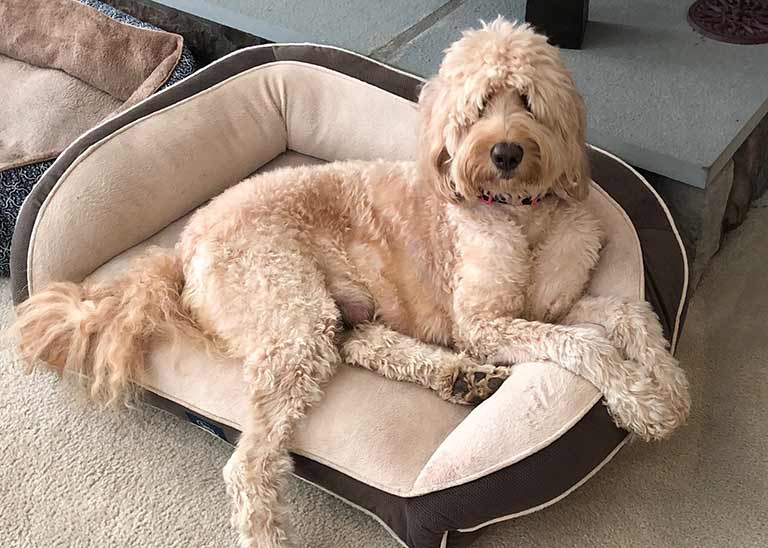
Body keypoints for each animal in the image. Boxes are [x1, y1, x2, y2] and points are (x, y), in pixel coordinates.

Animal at [12, 17, 688, 548]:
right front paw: (642, 404)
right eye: (476, 109)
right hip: (292, 317)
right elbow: (586, 344)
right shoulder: (486, 323)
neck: (520, 212)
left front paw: (669, 386)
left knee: (366, 345)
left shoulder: (548, 306)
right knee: (250, 463)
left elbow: (628, 313)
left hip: (327, 317)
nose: (504, 154)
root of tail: (183, 247)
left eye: (524, 99)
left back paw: (460, 378)